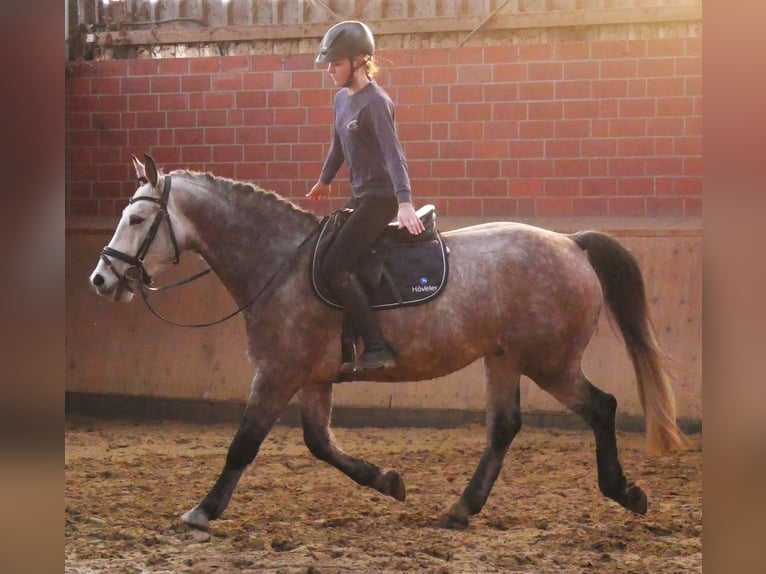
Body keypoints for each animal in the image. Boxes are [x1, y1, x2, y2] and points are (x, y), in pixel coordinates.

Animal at [89, 154, 686, 531]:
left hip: (550, 362)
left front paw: (203, 511)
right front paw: (389, 482)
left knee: (602, 407)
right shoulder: (312, 377)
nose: (101, 279)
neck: (277, 261)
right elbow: (319, 444)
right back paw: (460, 510)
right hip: (504, 358)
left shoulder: (278, 372)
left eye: (137, 217)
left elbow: (244, 444)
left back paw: (625, 492)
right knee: (504, 428)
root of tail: (571, 243)